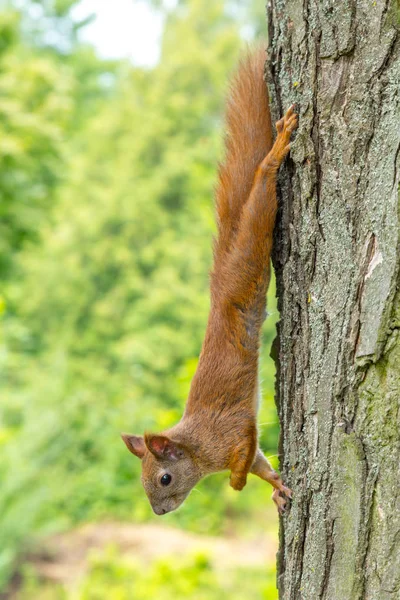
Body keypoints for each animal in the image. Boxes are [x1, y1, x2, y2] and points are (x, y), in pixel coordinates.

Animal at [122, 48, 296, 516]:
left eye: (164, 478)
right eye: (143, 484)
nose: (159, 512)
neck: (199, 448)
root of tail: (218, 289)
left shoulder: (233, 432)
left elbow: (245, 456)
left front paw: (236, 483)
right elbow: (261, 464)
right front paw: (277, 485)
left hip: (250, 255)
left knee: (259, 197)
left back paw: (274, 153)